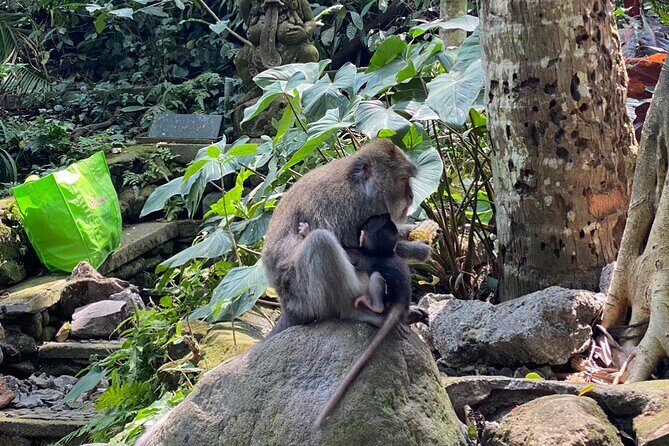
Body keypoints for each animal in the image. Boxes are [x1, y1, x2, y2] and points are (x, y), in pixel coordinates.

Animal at [262, 138, 432, 337]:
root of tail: (287, 307)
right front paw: (416, 248)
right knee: (321, 241)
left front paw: (415, 237)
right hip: (303, 299)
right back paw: (354, 311)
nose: (411, 196)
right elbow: (362, 253)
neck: (360, 187)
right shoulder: (344, 209)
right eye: (403, 179)